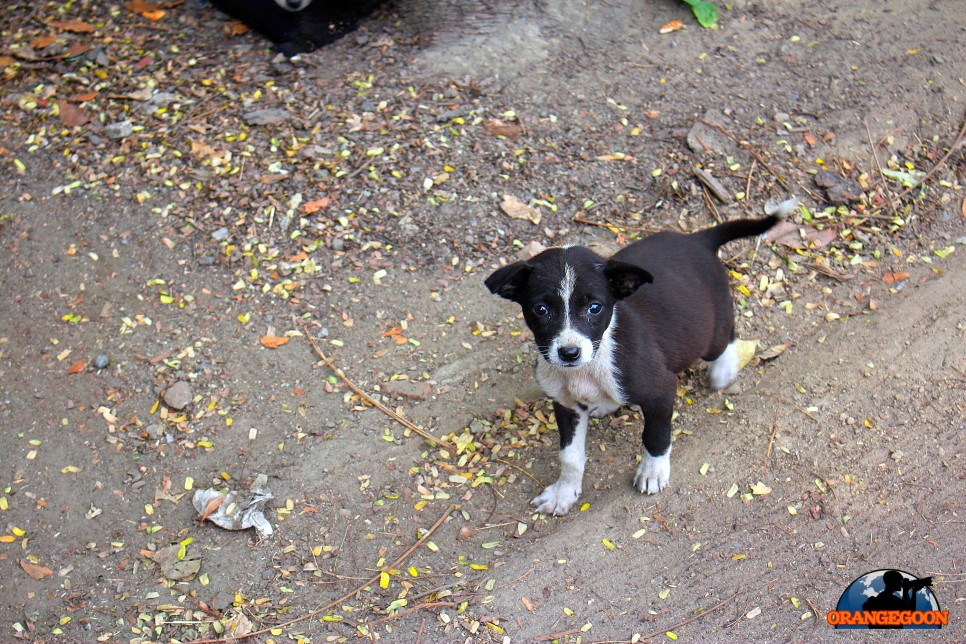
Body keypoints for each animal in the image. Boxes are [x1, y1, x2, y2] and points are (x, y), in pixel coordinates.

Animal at [488, 214, 784, 516]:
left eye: (595, 307)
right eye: (541, 310)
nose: (569, 353)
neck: (591, 363)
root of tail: (696, 239)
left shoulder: (661, 390)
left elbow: (655, 436)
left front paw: (653, 471)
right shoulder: (566, 403)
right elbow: (569, 456)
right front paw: (564, 492)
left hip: (708, 331)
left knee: (726, 335)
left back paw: (723, 368)